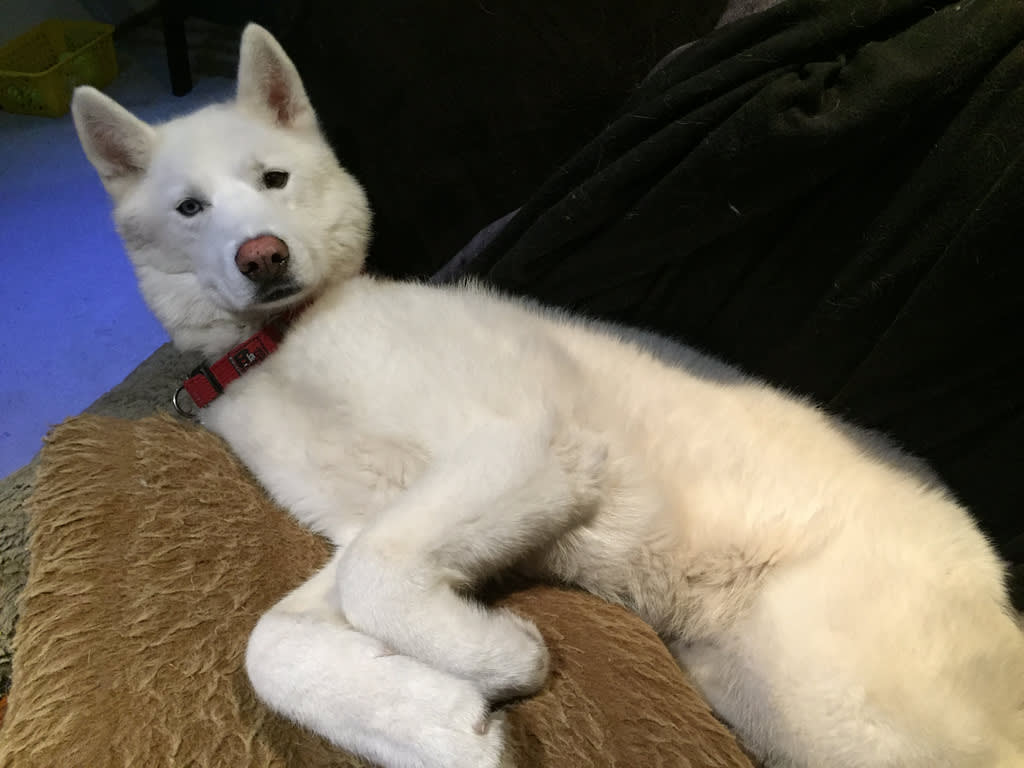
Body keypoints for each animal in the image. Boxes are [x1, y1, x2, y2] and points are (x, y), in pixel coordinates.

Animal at [70, 23, 1024, 768]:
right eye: (190, 209)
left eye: (273, 180)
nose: (261, 256)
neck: (289, 345)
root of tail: (991, 570)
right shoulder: (364, 525)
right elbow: (272, 644)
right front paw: (437, 722)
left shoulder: (523, 450)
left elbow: (377, 578)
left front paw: (499, 659)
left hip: (841, 692)